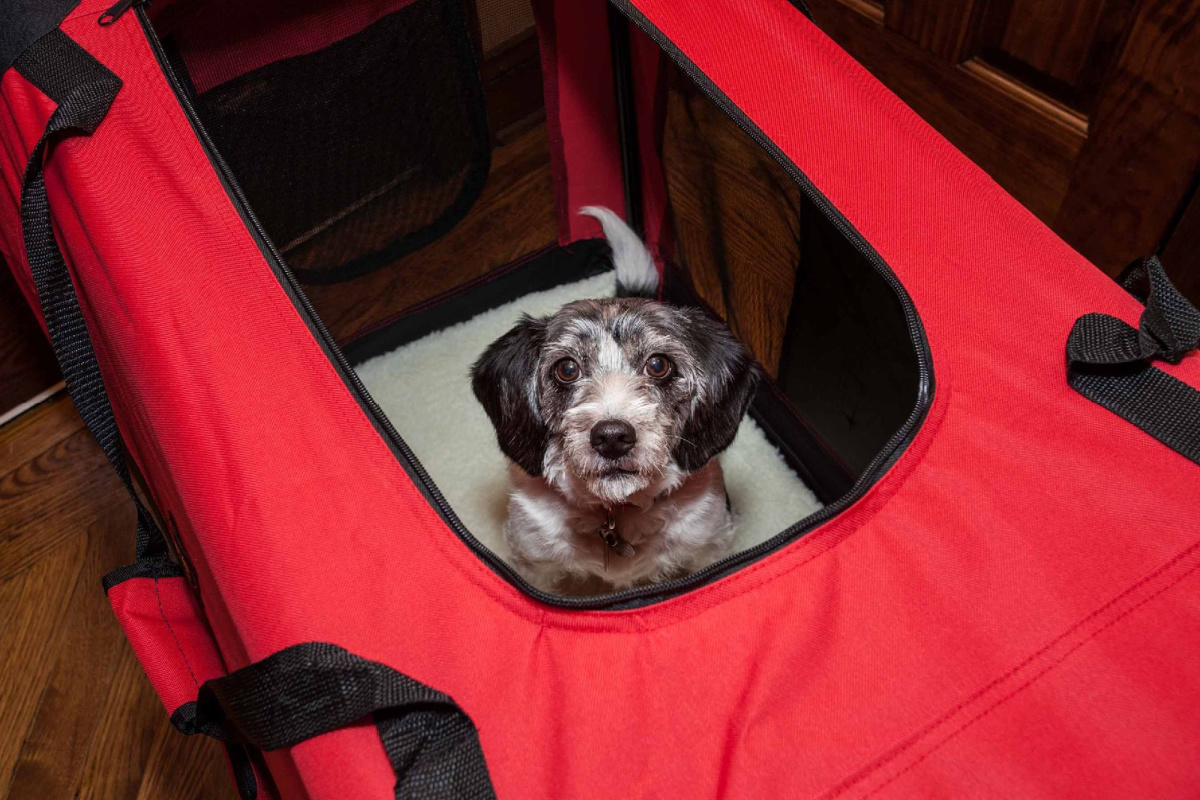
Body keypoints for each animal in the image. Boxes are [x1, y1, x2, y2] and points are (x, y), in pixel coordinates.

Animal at [470, 209, 758, 592]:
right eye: (567, 369)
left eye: (658, 364)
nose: (611, 438)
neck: (614, 511)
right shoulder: (534, 562)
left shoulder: (709, 543)